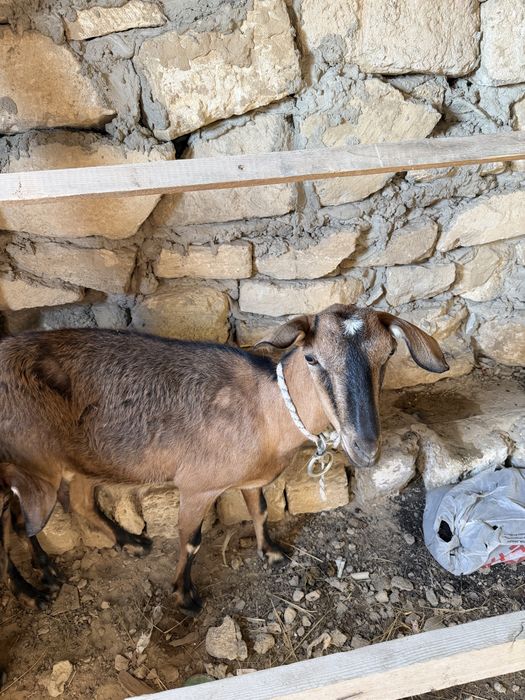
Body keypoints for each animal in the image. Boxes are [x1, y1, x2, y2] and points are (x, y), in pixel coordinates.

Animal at [0, 304, 447, 613]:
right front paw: (185, 596)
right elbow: (191, 539)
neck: (265, 410)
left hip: (72, 464)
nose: (365, 447)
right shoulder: (198, 485)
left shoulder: (252, 479)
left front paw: (270, 552)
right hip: (30, 469)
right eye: (312, 358)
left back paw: (118, 547)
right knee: (17, 521)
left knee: (68, 506)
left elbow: (261, 509)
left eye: (387, 355)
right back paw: (31, 590)